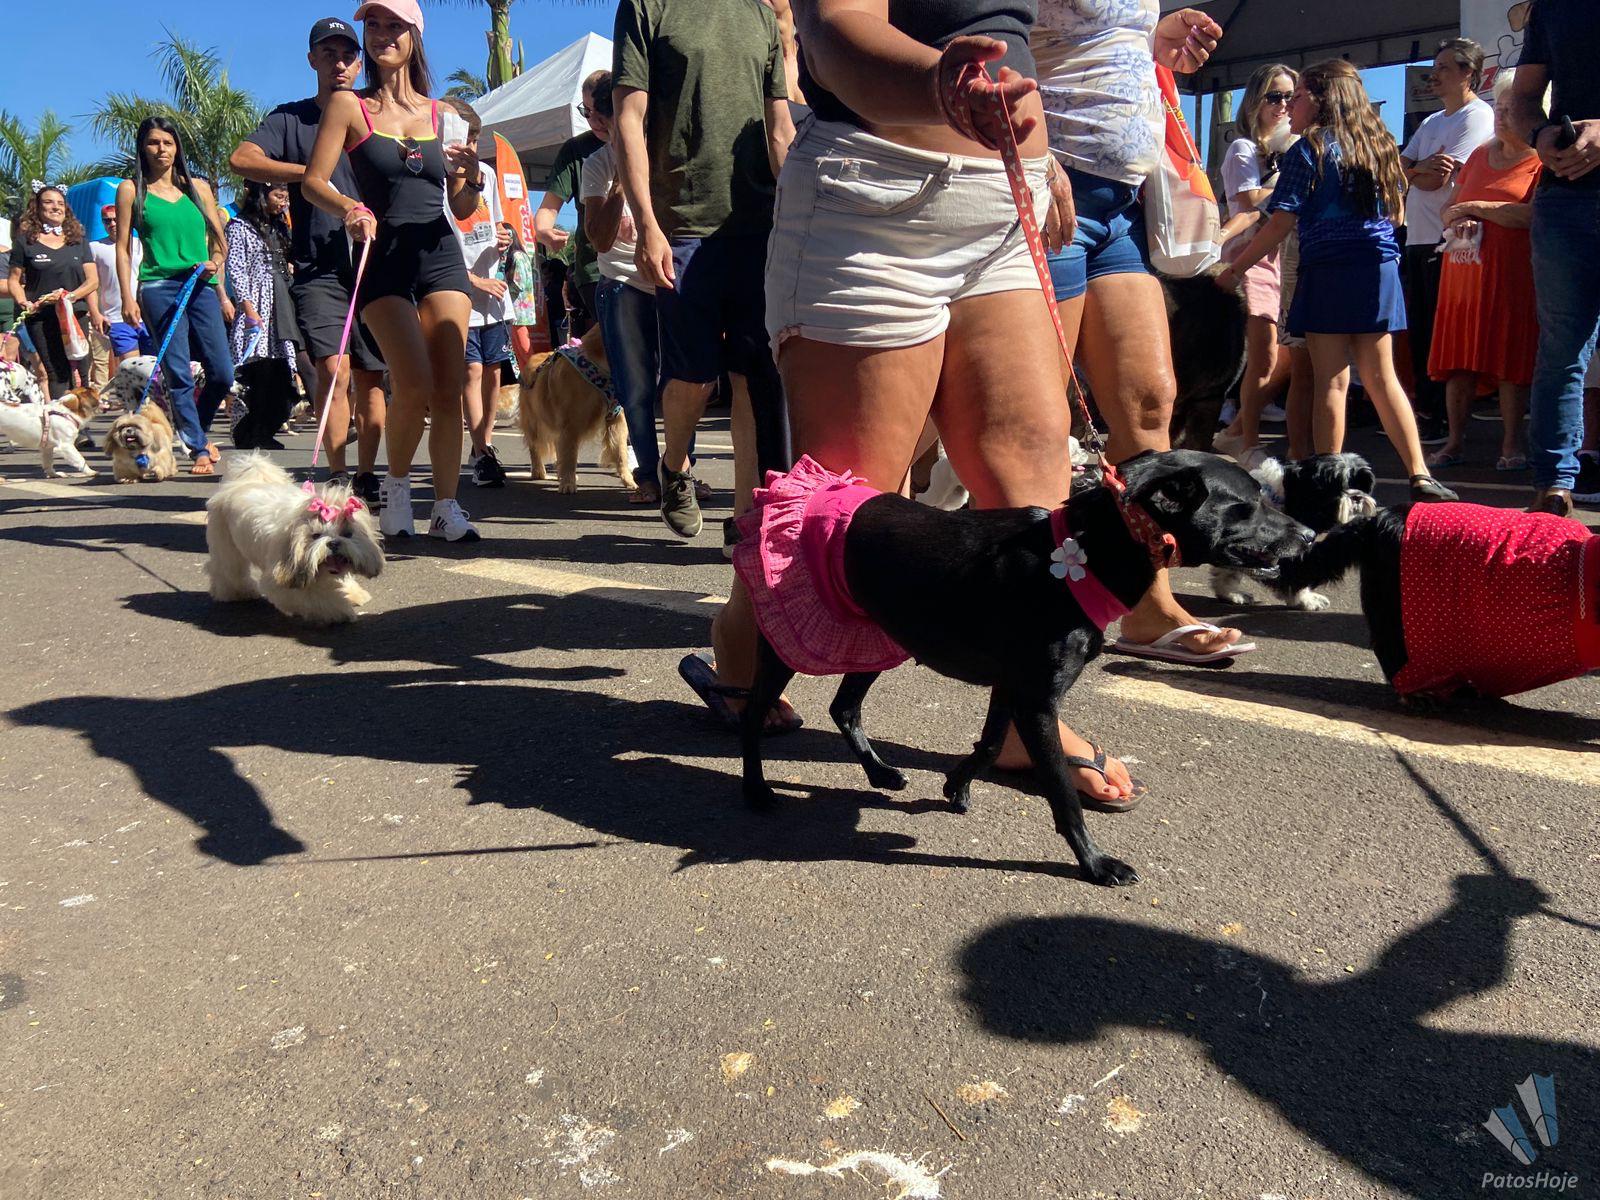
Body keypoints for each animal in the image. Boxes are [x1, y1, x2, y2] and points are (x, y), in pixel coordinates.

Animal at [205, 454, 384, 625]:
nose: (333, 543)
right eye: (315, 535)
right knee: (228, 570)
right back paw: (237, 592)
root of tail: (241, 483)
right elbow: (317, 597)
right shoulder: (282, 579)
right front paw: (341, 611)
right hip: (226, 545)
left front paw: (352, 592)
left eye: (347, 534)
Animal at [517, 326, 634, 494]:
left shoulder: (616, 419)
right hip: (533, 421)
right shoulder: (571, 422)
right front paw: (568, 483)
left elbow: (620, 452)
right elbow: (570, 455)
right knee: (535, 446)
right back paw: (538, 471)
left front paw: (629, 480)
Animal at [732, 450, 1312, 887]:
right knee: (756, 713)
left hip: (878, 634)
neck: (1085, 555)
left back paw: (878, 771)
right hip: (791, 642)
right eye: (1246, 505)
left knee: (845, 706)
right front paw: (1095, 863)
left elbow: (990, 745)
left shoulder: (1011, 686)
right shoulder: (1035, 700)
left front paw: (957, 785)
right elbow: (1061, 791)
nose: (1309, 536)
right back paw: (756, 791)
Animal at [1212, 453, 1377, 610]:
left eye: (1363, 486)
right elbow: (1296, 580)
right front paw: (1306, 600)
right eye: (1337, 487)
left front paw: (1230, 593)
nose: (1357, 496)